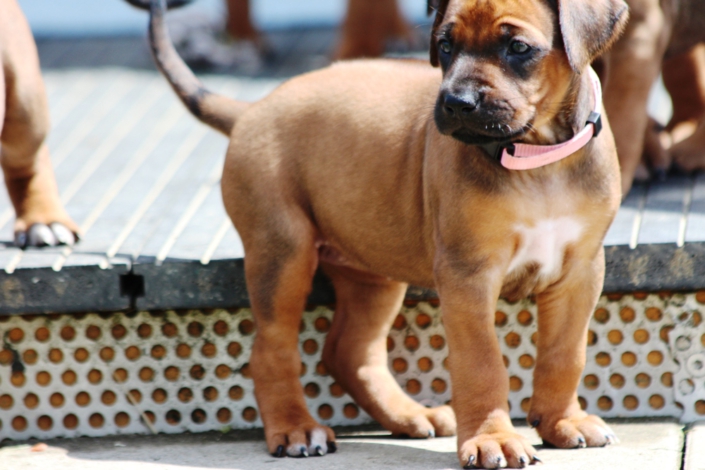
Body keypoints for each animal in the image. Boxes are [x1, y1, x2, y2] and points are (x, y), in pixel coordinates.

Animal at [131, 0, 627, 467]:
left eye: (518, 48)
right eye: (445, 46)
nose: (456, 103)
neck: (537, 157)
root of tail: (253, 108)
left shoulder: (582, 271)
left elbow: (566, 353)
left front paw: (562, 420)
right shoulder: (468, 276)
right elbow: (483, 363)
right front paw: (493, 439)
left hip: (371, 271)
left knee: (350, 352)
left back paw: (409, 415)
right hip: (282, 252)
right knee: (272, 349)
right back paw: (295, 428)